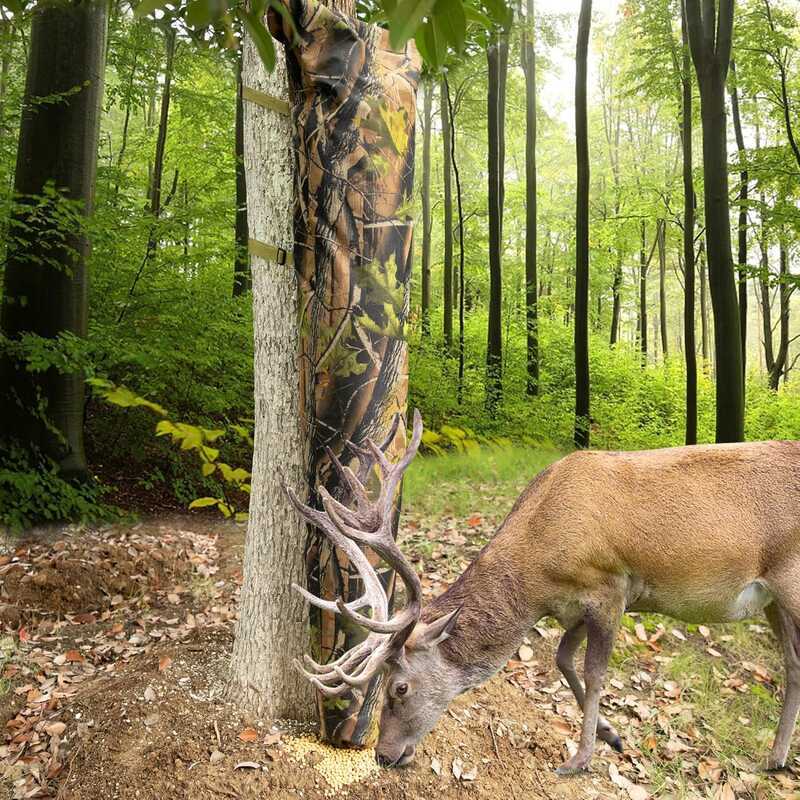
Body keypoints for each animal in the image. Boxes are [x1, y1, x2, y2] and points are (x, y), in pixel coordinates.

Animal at [287, 410, 800, 775]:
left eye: (400, 686)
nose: (383, 755)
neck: (537, 575)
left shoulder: (611, 586)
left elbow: (594, 672)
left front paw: (579, 760)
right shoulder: (571, 606)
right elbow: (562, 659)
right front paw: (613, 736)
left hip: (790, 581)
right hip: (774, 599)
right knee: (793, 663)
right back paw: (775, 758)